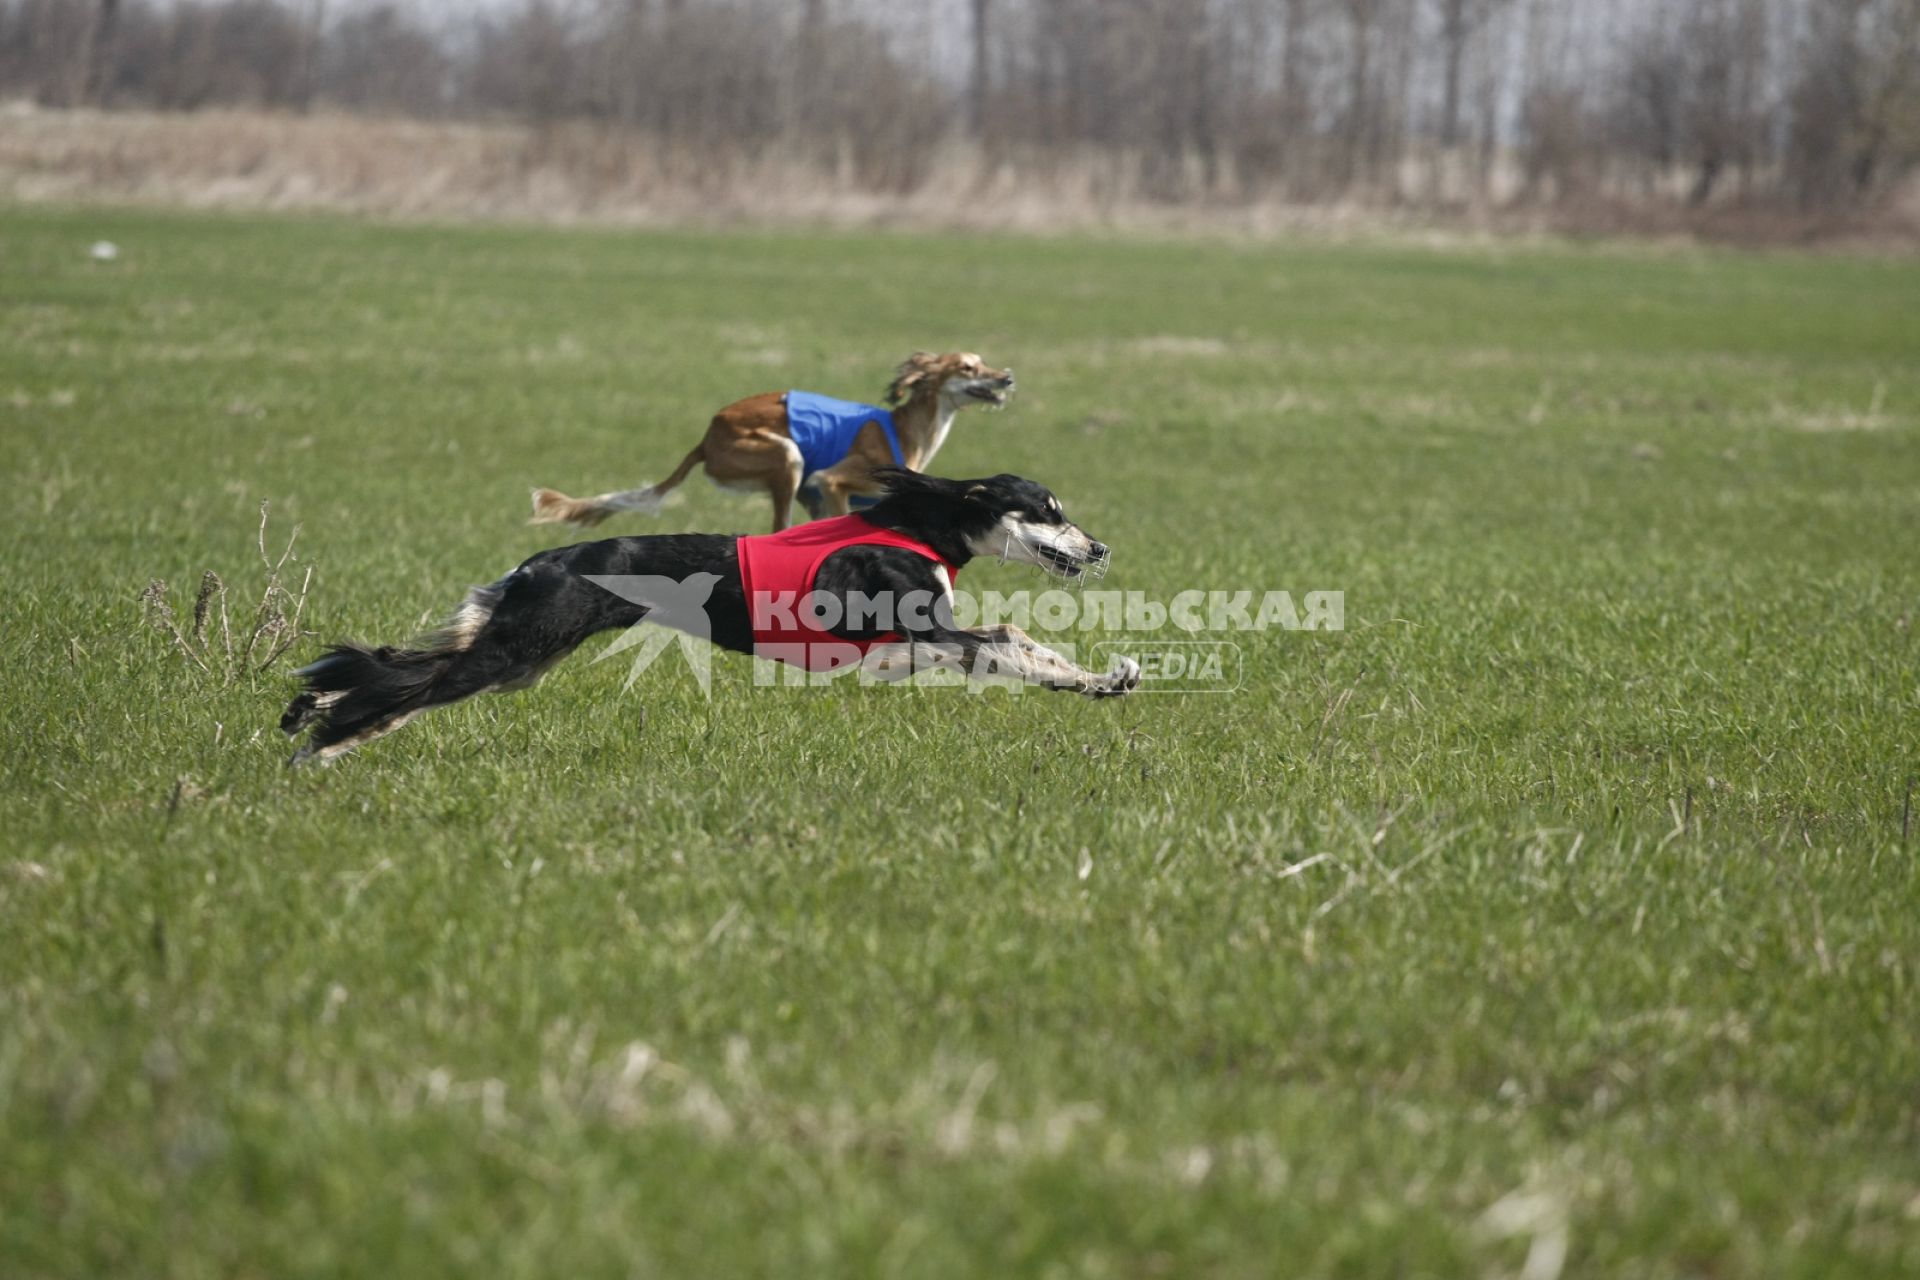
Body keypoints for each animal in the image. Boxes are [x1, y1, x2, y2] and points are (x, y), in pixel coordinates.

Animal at [284, 474, 1136, 767]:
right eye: (1047, 509)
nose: (1099, 547)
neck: (920, 525)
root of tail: (540, 563)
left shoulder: (908, 647)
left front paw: (1107, 682)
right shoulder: (924, 628)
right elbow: (1012, 641)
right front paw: (1109, 676)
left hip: (522, 653)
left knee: (402, 674)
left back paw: (315, 713)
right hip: (521, 647)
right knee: (409, 685)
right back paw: (320, 745)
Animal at [533, 351, 1013, 529]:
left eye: (984, 361)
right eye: (967, 367)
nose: (1007, 378)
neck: (907, 430)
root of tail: (707, 436)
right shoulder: (831, 482)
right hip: (786, 457)